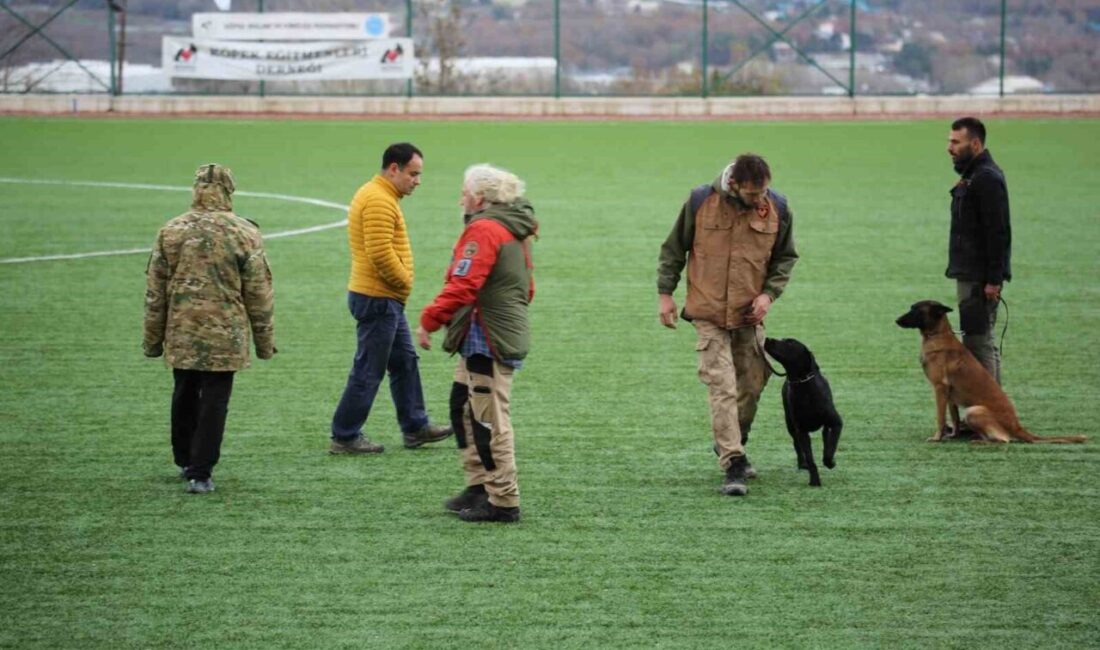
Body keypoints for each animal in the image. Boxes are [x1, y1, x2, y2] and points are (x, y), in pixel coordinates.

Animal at [765, 338, 840, 486]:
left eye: (790, 343)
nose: (768, 339)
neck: (803, 385)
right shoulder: (801, 431)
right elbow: (810, 458)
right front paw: (814, 480)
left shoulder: (836, 423)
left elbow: (831, 447)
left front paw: (829, 462)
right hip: (790, 424)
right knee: (797, 444)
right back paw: (802, 464)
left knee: (825, 437)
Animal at [897, 301, 1086, 444]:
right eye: (911, 308)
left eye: (916, 310)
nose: (896, 320)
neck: (937, 334)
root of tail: (1016, 425)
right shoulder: (949, 395)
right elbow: (954, 417)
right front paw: (953, 435)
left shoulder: (940, 389)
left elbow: (940, 418)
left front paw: (937, 437)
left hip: (974, 411)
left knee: (1004, 439)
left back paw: (979, 441)